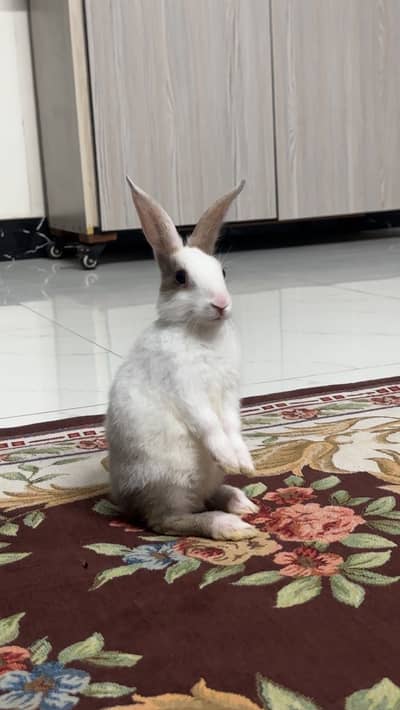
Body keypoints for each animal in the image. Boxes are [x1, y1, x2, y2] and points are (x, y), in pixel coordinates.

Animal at [106, 177, 259, 541]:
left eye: (223, 271)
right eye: (180, 278)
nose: (221, 304)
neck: (201, 332)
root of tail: (127, 503)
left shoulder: (229, 394)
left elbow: (231, 425)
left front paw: (244, 463)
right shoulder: (187, 390)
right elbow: (210, 425)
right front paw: (230, 459)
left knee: (205, 498)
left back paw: (241, 503)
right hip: (170, 482)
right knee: (170, 520)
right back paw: (230, 526)